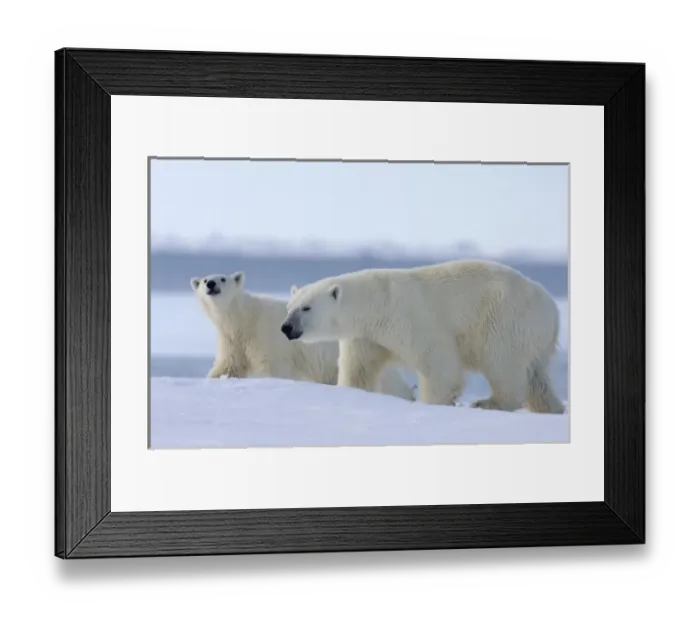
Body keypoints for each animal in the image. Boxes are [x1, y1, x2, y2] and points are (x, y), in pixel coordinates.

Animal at [190, 272, 415, 401]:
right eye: (204, 280)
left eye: (222, 278)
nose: (211, 284)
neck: (245, 318)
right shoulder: (233, 340)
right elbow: (227, 365)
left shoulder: (266, 336)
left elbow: (273, 369)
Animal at [281, 259, 565, 413]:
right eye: (289, 307)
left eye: (306, 308)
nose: (286, 328)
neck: (376, 302)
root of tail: (553, 310)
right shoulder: (366, 337)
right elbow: (358, 369)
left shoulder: (408, 317)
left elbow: (439, 364)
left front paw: (433, 403)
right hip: (533, 337)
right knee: (537, 377)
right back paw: (552, 407)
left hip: (505, 319)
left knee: (502, 362)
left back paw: (488, 402)